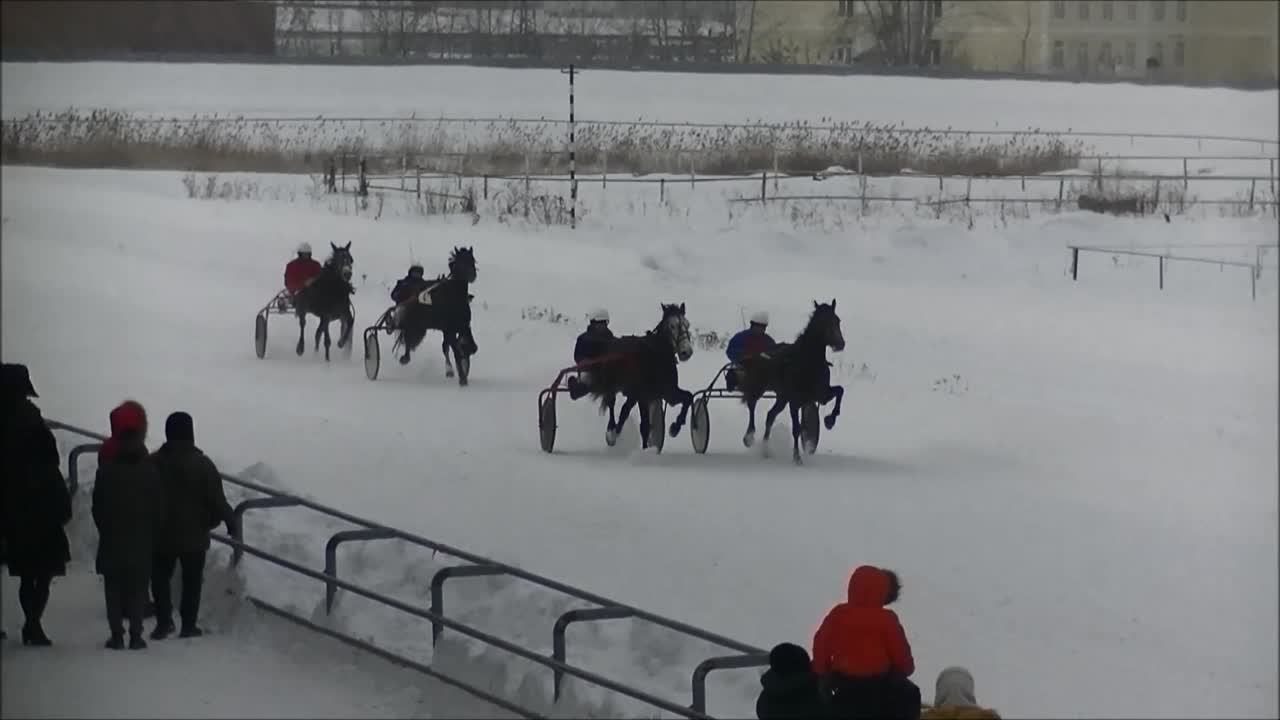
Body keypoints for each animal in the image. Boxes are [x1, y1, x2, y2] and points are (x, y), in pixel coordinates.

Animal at [391, 243, 478, 384]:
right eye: (459, 262)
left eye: (472, 260)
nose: (472, 275)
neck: (454, 297)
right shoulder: (450, 329)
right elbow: (456, 350)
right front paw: (462, 378)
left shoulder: (463, 326)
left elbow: (470, 347)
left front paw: (462, 369)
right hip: (412, 322)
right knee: (408, 338)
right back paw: (405, 358)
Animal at [586, 301, 696, 448]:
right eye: (672, 326)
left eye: (687, 324)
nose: (686, 352)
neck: (656, 356)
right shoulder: (643, 396)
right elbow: (645, 426)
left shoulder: (669, 392)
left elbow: (688, 397)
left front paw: (675, 427)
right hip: (614, 385)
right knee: (612, 404)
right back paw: (611, 433)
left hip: (632, 394)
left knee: (624, 411)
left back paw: (618, 431)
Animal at [737, 298, 844, 461]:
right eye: (822, 321)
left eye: (837, 320)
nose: (840, 344)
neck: (809, 363)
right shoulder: (794, 400)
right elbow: (796, 428)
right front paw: (797, 457)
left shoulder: (821, 394)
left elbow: (840, 391)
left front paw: (830, 420)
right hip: (760, 387)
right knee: (752, 404)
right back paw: (749, 436)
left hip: (782, 397)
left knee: (770, 416)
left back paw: (765, 449)